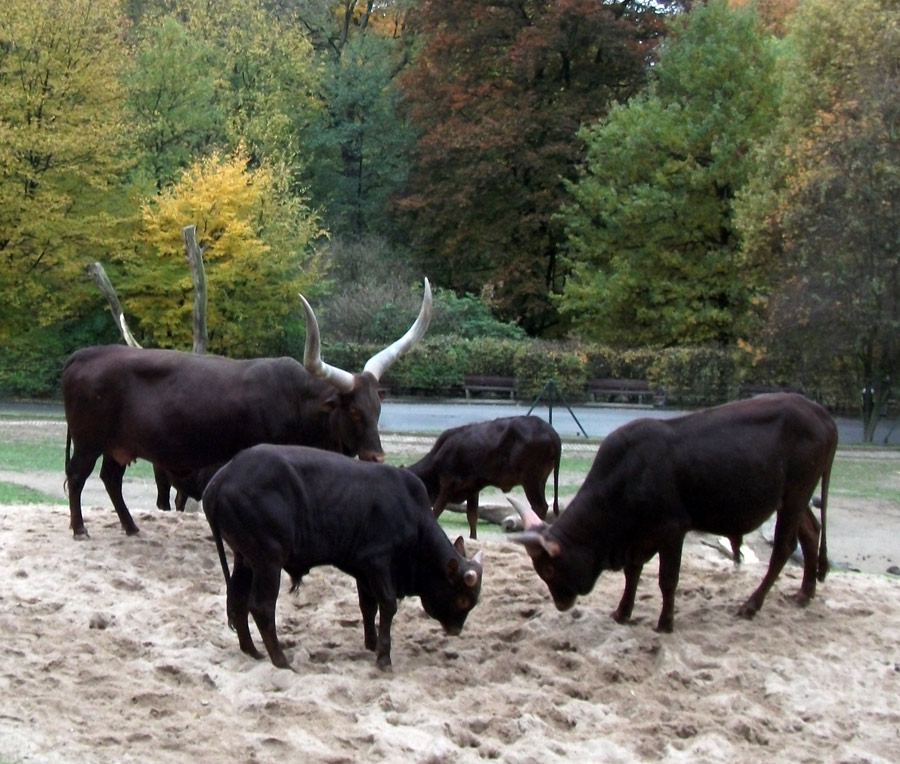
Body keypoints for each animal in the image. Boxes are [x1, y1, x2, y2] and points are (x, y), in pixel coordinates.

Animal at [60, 278, 432, 536]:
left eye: (377, 408)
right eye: (353, 410)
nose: (376, 458)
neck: (299, 403)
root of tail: (84, 355)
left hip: (117, 446)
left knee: (110, 479)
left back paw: (131, 526)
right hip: (88, 441)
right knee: (78, 477)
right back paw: (80, 529)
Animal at [202, 444, 486, 672]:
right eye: (462, 599)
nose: (456, 630)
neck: (413, 518)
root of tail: (221, 479)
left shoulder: (364, 569)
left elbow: (368, 606)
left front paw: (372, 644)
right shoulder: (378, 561)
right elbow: (388, 604)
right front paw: (384, 656)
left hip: (245, 559)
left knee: (238, 601)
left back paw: (252, 651)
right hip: (268, 561)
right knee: (261, 607)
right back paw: (281, 661)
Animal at [410, 414, 564, 540]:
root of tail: (550, 431)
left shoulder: (448, 485)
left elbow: (436, 512)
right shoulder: (472, 489)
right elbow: (472, 516)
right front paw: (473, 539)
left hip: (530, 479)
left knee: (539, 506)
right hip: (540, 480)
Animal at [510, 394, 840, 632]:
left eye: (549, 570)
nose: (561, 603)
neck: (626, 474)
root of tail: (821, 414)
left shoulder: (672, 530)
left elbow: (667, 579)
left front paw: (665, 623)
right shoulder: (638, 537)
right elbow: (632, 572)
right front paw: (622, 611)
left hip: (796, 493)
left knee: (784, 548)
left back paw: (752, 605)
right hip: (794, 498)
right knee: (811, 532)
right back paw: (805, 593)